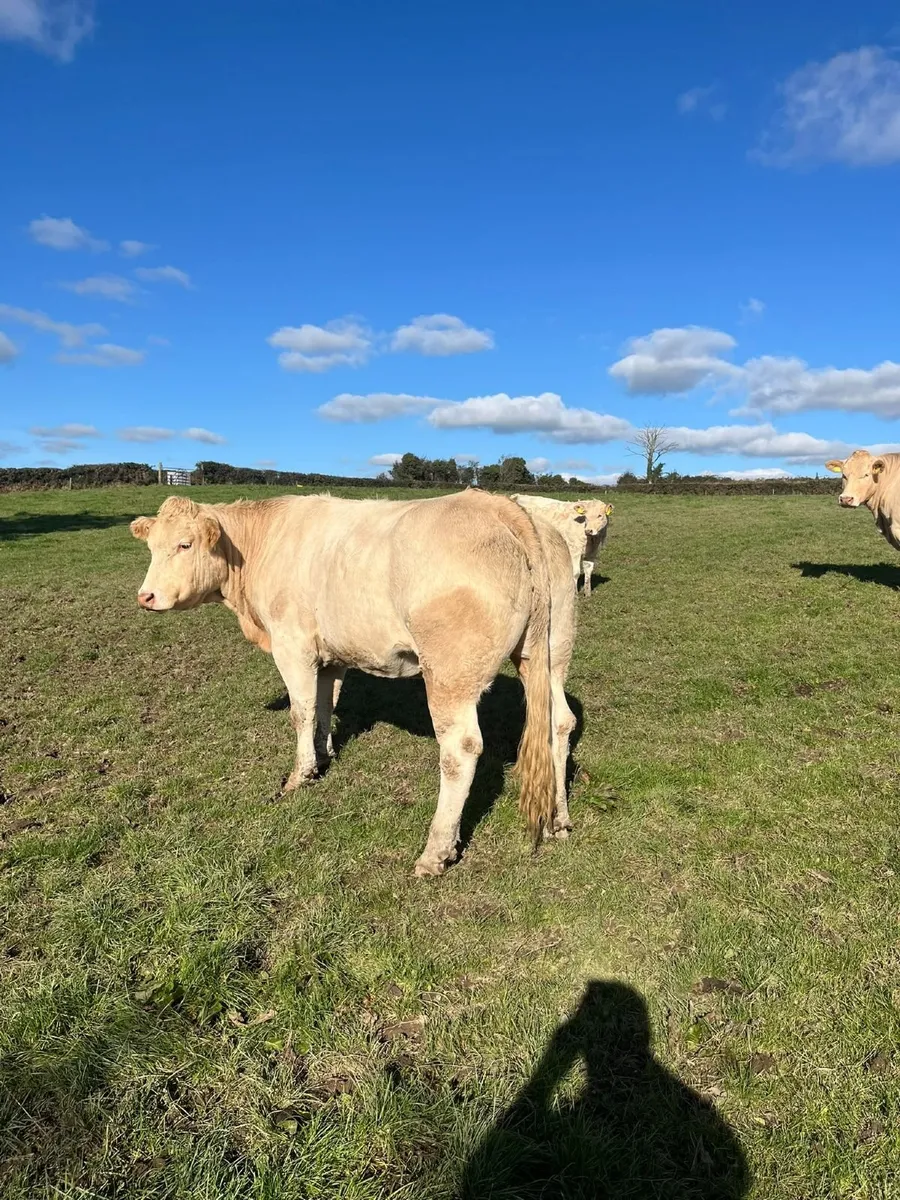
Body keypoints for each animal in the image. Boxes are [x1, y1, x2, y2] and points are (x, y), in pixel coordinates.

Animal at [131, 490, 577, 876]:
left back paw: (435, 852)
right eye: (151, 546)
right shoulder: (332, 655)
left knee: (461, 749)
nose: (145, 597)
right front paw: (325, 755)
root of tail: (498, 505)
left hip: (451, 672)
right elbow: (325, 705)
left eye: (185, 544)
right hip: (552, 652)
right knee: (560, 722)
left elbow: (302, 711)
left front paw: (299, 777)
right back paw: (559, 820)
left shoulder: (293, 645)